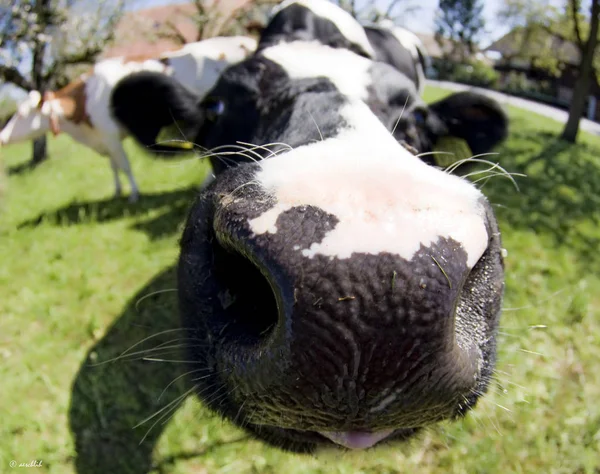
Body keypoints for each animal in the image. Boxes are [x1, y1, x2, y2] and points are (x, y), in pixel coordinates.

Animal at [0, 35, 255, 202]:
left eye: (21, 114)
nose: (2, 136)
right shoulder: (106, 138)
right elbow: (113, 166)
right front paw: (117, 191)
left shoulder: (111, 135)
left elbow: (124, 165)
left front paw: (133, 194)